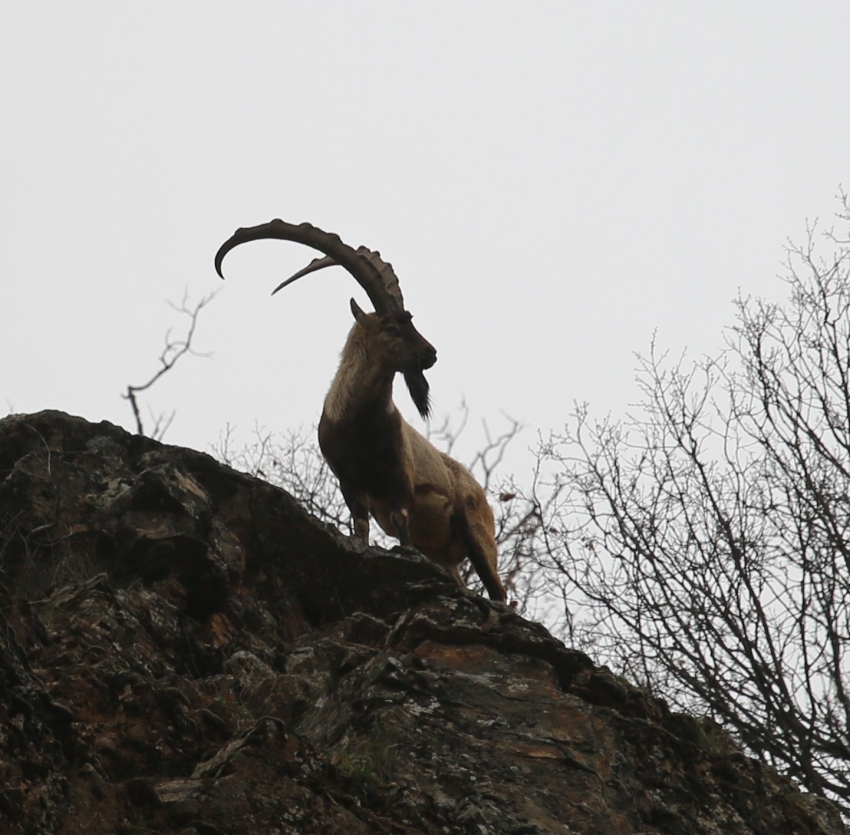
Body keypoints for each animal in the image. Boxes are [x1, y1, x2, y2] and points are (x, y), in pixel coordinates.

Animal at [214, 222, 504, 600]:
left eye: (409, 321)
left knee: (500, 592)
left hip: (478, 536)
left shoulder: (400, 476)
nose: (431, 353)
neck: (359, 425)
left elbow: (400, 520)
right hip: (443, 554)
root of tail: (477, 488)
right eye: (392, 327)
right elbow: (361, 528)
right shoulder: (349, 481)